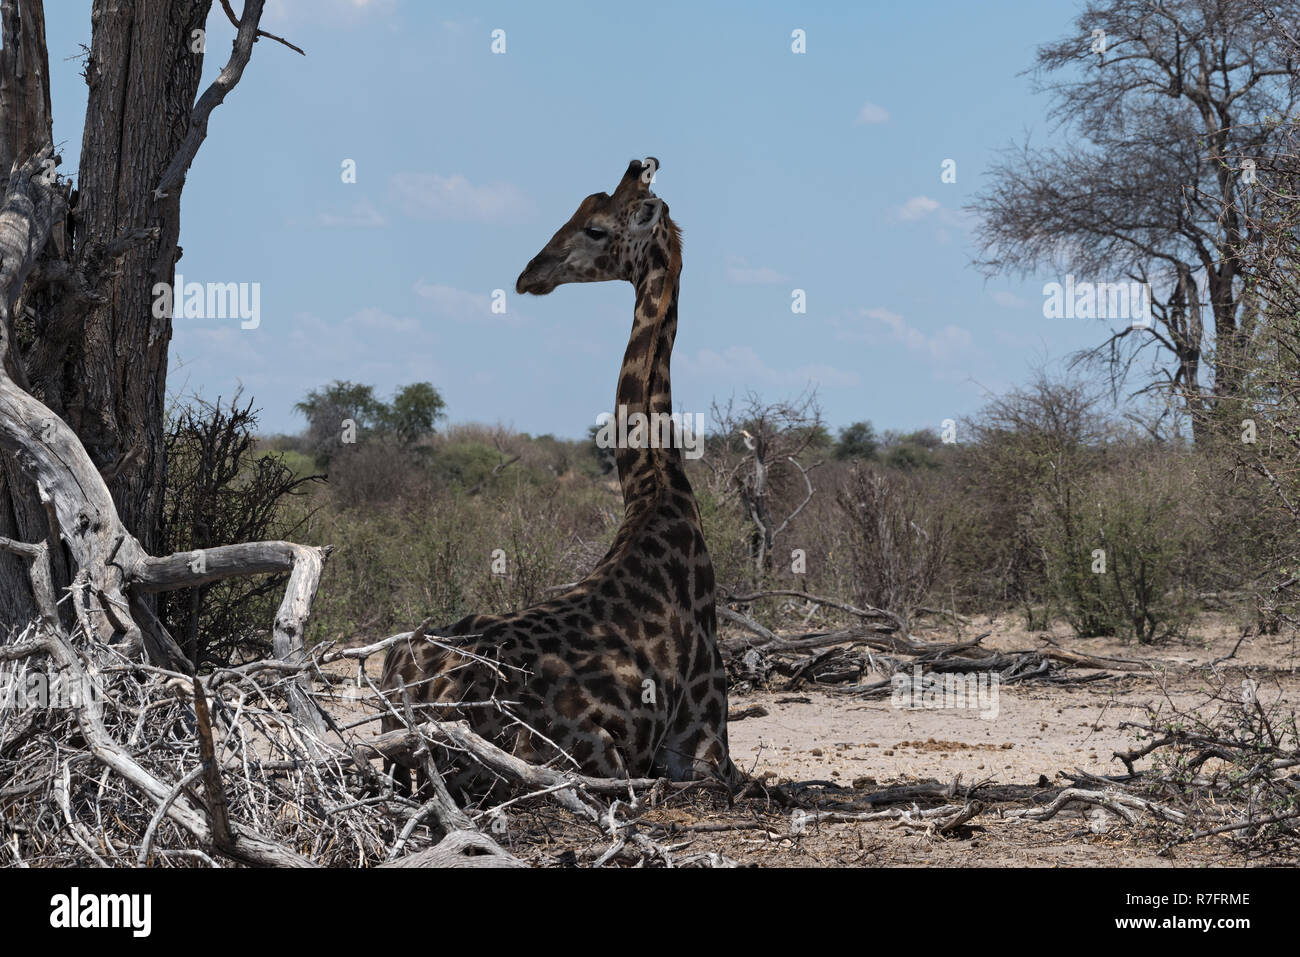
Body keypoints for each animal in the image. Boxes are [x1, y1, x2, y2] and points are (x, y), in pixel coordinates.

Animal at [380, 158, 738, 793]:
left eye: (595, 228)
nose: (530, 274)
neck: (656, 491)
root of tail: (427, 718)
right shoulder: (706, 744)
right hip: (592, 758)